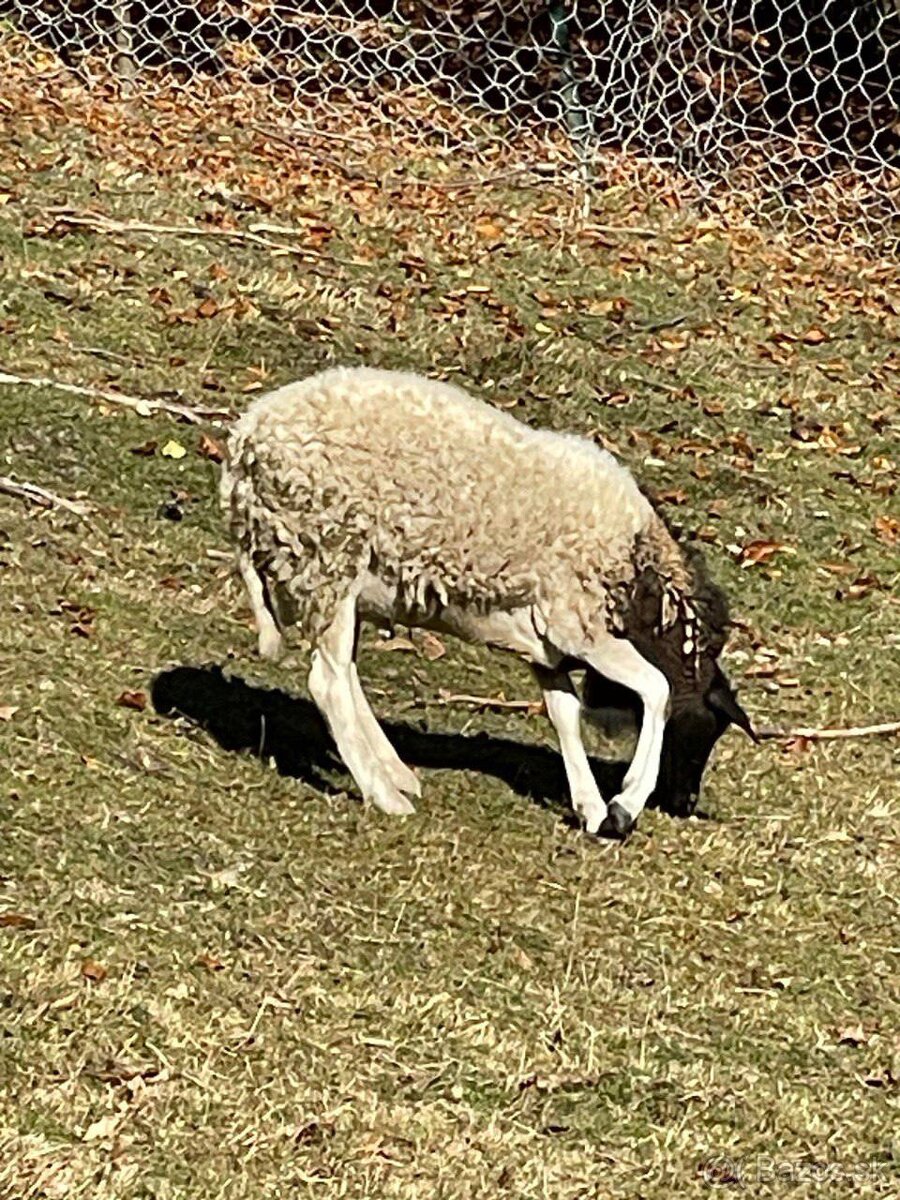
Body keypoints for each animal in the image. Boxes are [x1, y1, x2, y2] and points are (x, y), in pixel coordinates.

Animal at [222, 364, 758, 835]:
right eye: (703, 732)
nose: (685, 802)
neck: (641, 586)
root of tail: (243, 447)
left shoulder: (547, 644)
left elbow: (564, 713)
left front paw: (590, 808)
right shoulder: (578, 625)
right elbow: (657, 689)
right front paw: (624, 804)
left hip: (330, 572)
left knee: (343, 671)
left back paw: (396, 772)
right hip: (327, 552)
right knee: (327, 682)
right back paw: (385, 795)